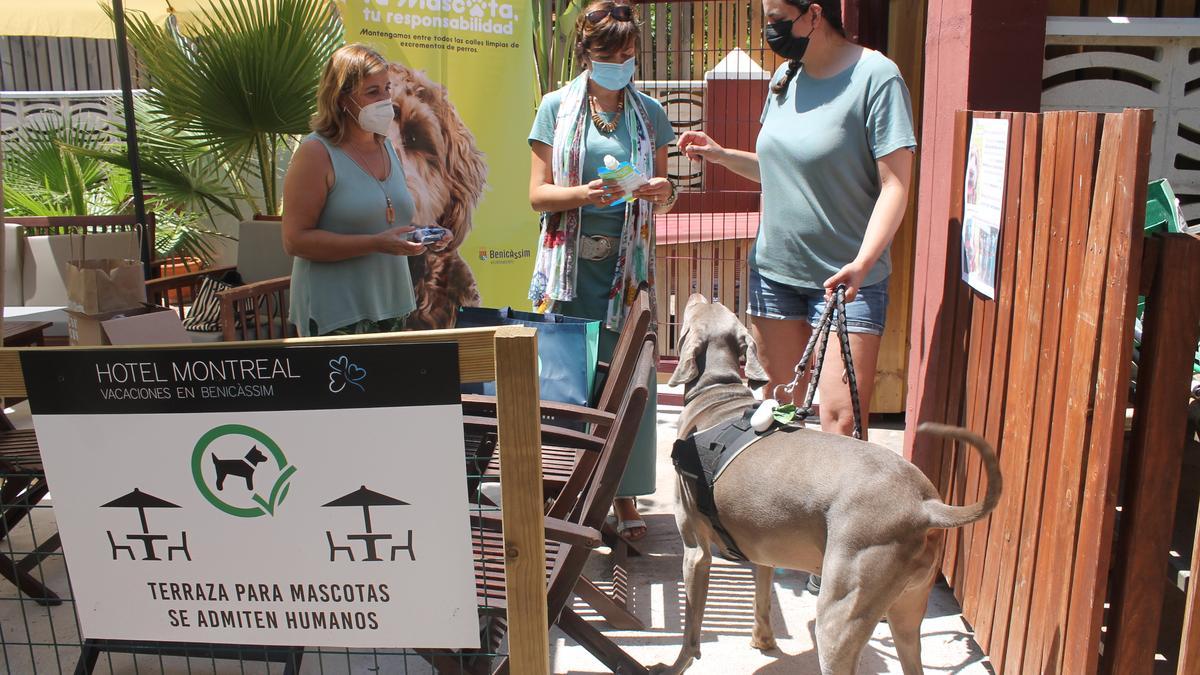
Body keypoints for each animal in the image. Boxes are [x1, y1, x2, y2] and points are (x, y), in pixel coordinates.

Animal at [657, 294, 1003, 672]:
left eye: (694, 311)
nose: (701, 295)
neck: (718, 394)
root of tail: (926, 506)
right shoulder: (762, 547)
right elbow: (762, 597)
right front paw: (763, 640)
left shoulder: (696, 551)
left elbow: (691, 633)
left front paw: (673, 666)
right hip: (909, 610)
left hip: (840, 610)